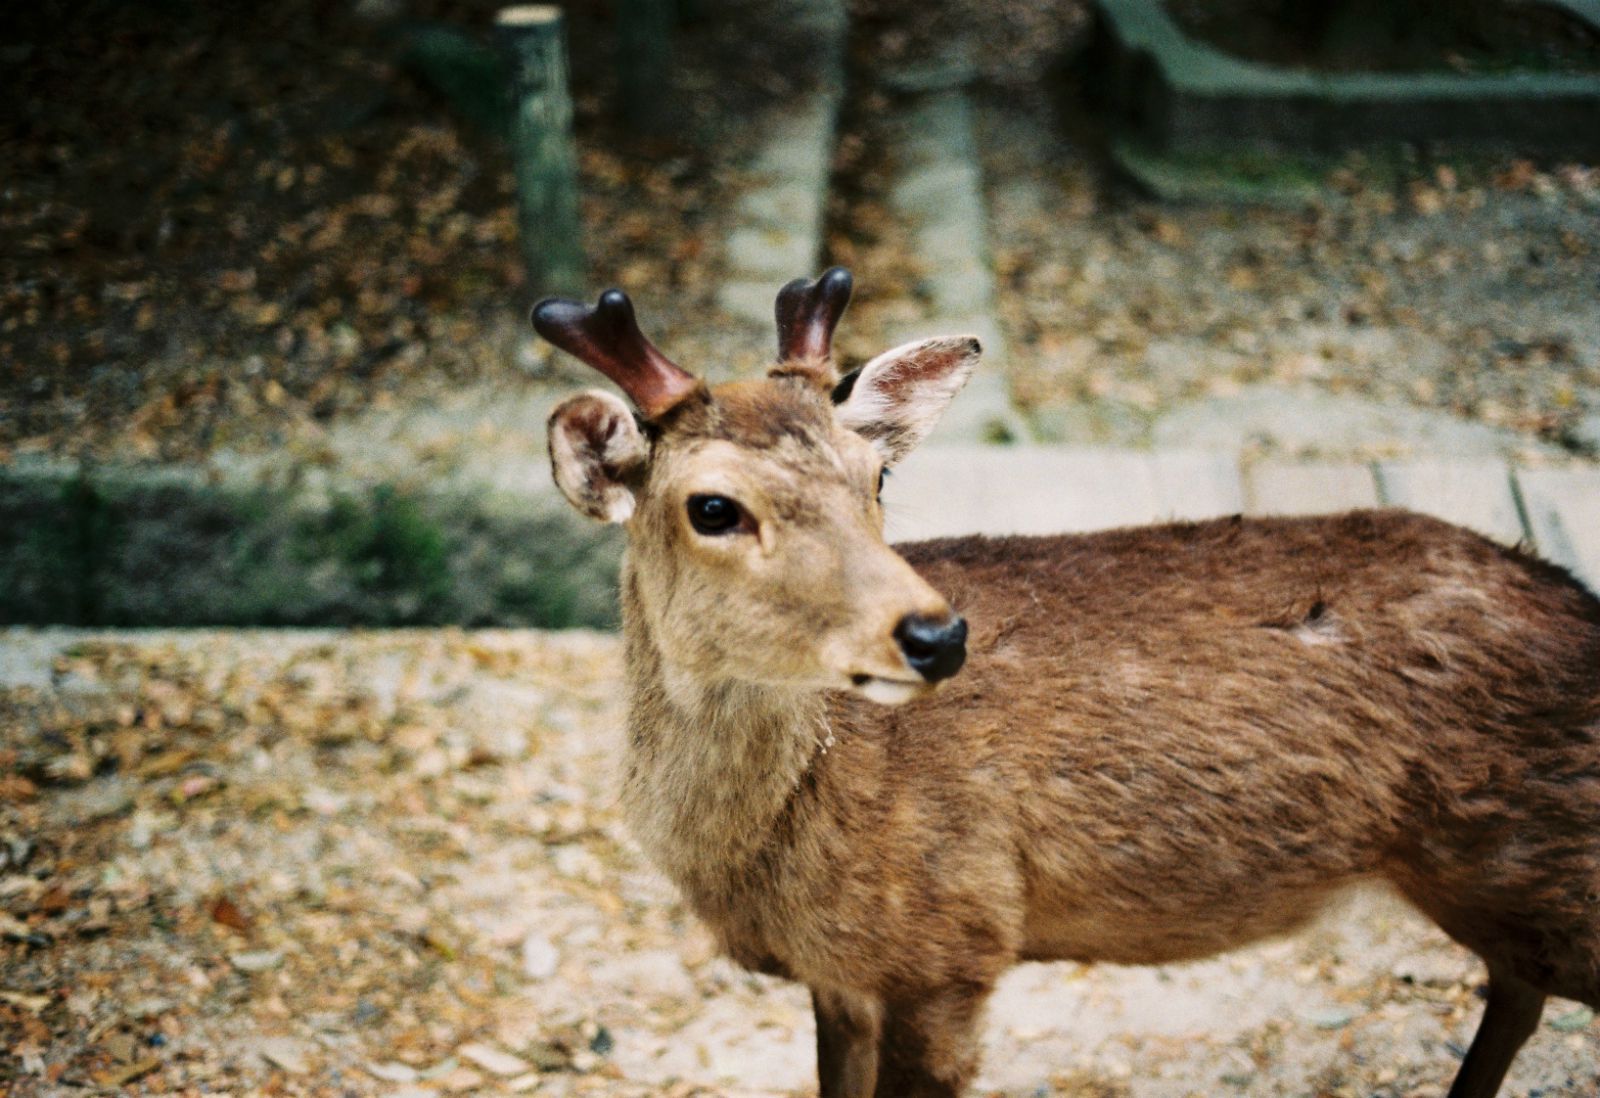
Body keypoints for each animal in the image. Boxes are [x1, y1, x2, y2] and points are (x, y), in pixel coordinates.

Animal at [537, 268, 1600, 1098]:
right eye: (713, 506)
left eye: (876, 475)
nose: (937, 635)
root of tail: (1578, 605)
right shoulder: (840, 977)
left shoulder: (953, 943)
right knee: (1516, 987)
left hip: (1538, 846)